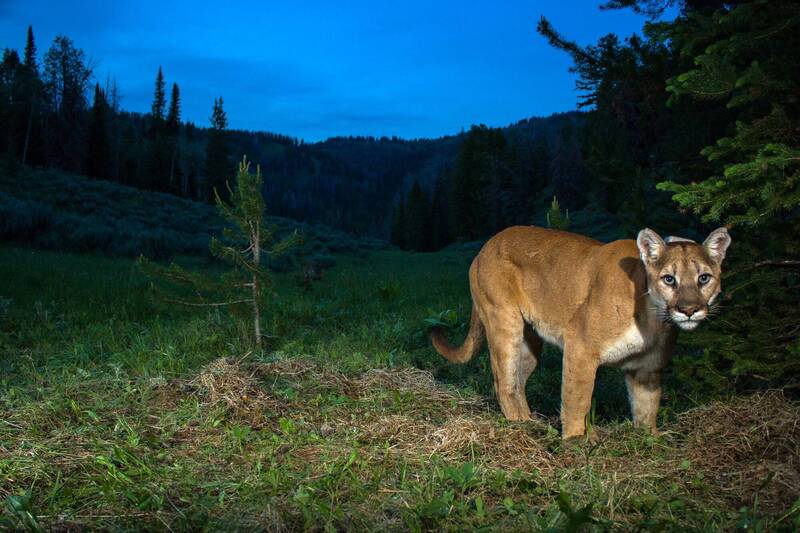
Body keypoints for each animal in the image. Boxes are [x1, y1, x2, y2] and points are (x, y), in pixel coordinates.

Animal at [432, 224, 732, 436]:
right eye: (669, 279)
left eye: (704, 278)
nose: (689, 309)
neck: (653, 318)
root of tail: (485, 247)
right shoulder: (580, 345)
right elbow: (577, 398)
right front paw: (576, 442)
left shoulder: (647, 369)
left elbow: (647, 409)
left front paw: (650, 441)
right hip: (504, 322)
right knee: (503, 382)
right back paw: (519, 427)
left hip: (530, 344)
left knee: (518, 382)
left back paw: (531, 422)